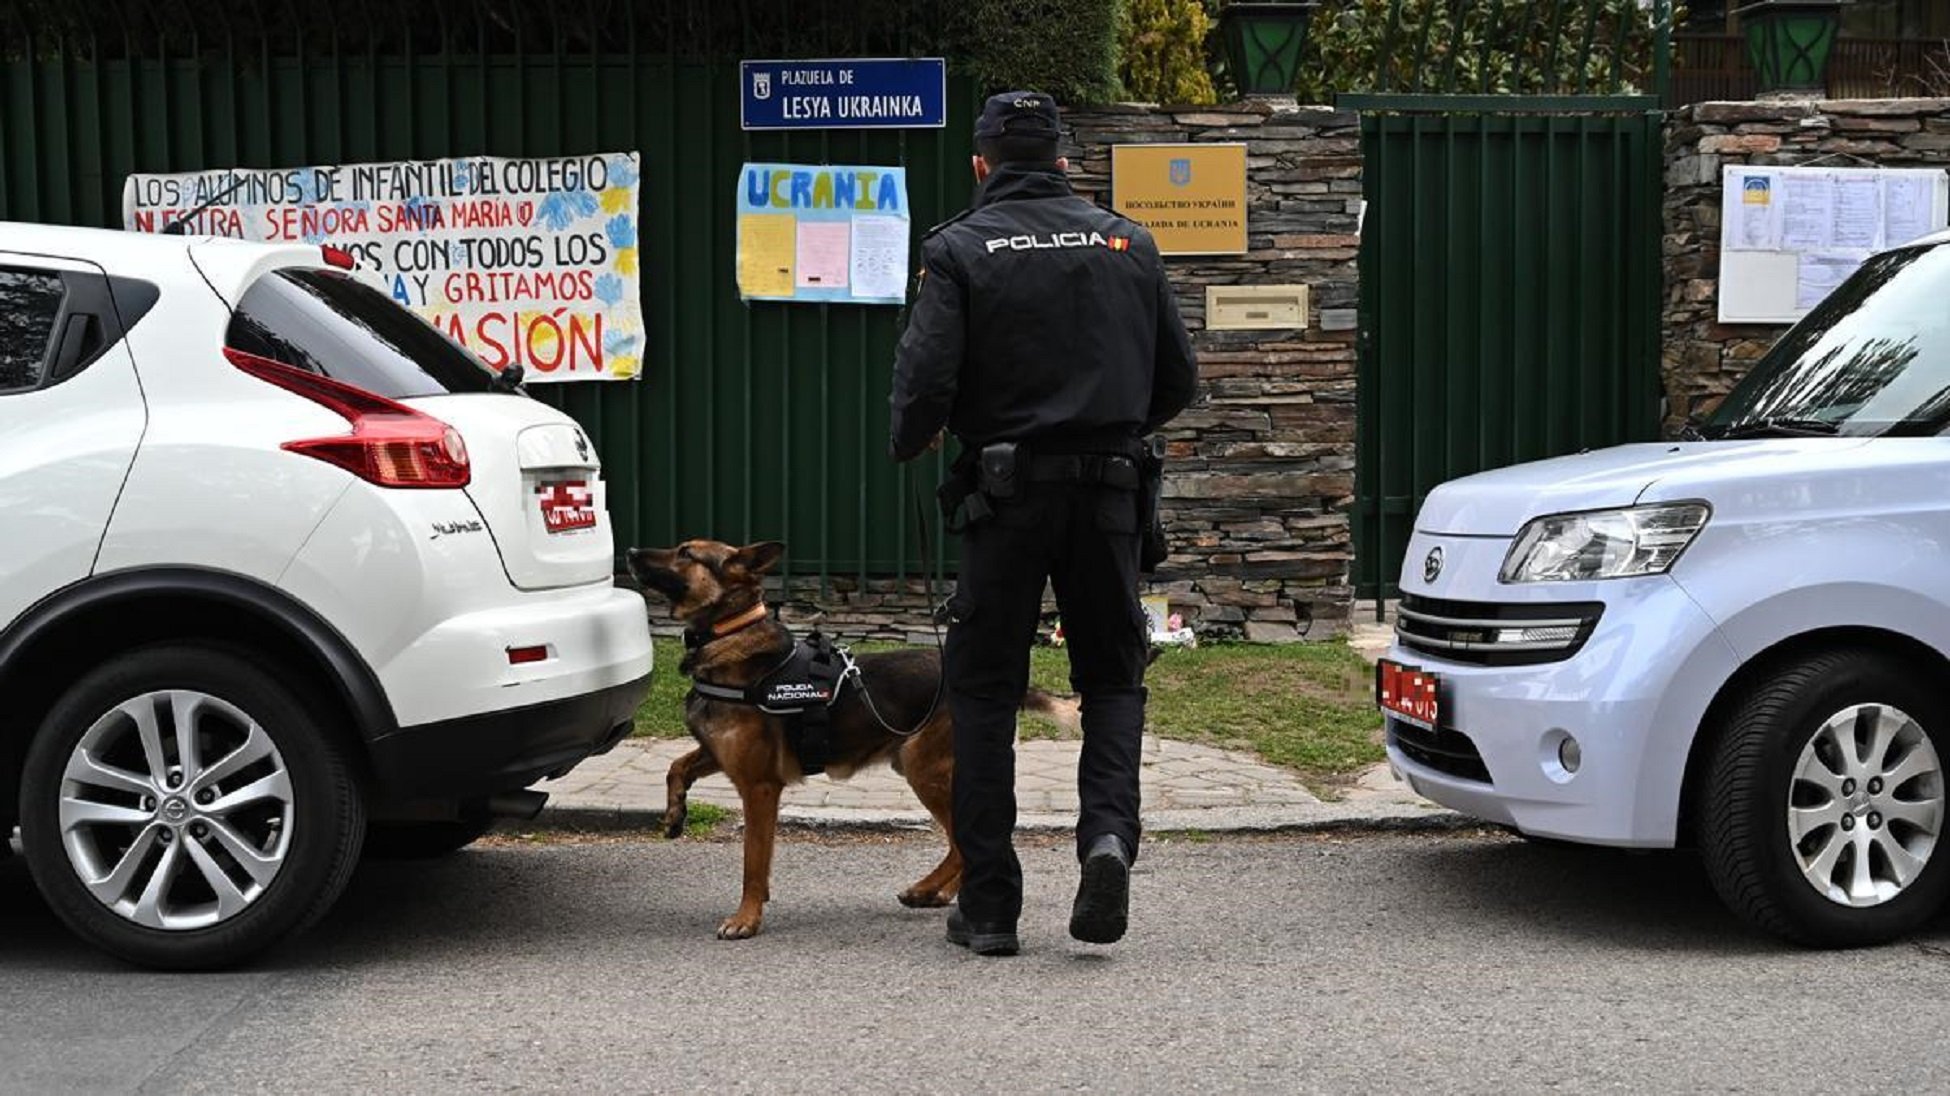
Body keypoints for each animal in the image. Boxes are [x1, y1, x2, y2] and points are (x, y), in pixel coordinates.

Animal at [631, 542, 1076, 936]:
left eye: (685, 552)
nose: (632, 552)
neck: (728, 633)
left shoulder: (759, 787)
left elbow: (752, 863)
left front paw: (747, 917)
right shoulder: (717, 753)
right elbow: (676, 767)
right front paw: (674, 813)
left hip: (922, 767)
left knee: (963, 843)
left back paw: (930, 889)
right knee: (961, 843)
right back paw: (937, 892)